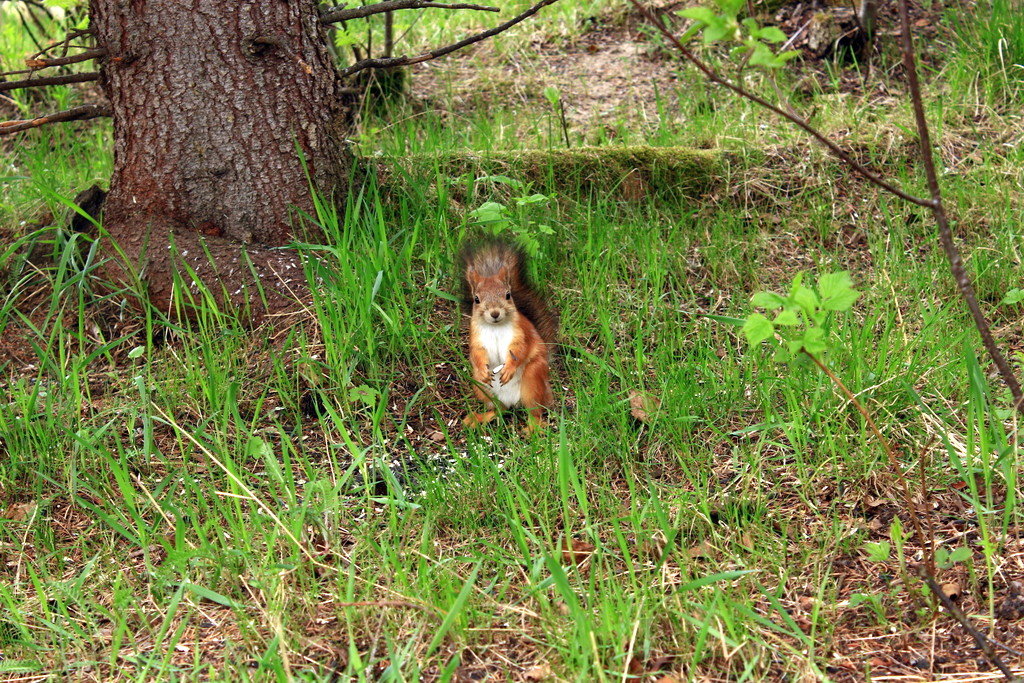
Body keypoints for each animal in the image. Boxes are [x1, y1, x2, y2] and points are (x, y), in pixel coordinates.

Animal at [460, 240, 557, 432]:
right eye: (476, 299)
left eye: (507, 295)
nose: (495, 313)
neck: (495, 328)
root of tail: (513, 402)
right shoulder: (476, 338)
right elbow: (477, 353)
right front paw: (483, 370)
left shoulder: (521, 334)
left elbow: (520, 350)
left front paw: (509, 369)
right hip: (482, 389)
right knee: (499, 409)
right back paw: (479, 418)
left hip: (532, 381)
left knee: (534, 411)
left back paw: (533, 427)